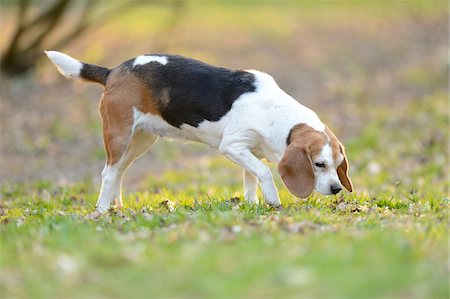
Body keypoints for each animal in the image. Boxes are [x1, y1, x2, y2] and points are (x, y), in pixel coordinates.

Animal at [45, 50, 354, 214]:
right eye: (318, 164)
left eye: (338, 164)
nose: (337, 189)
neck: (275, 113)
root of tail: (114, 71)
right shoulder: (233, 146)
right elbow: (264, 173)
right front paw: (272, 201)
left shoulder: (250, 151)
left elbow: (252, 176)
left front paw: (252, 203)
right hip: (120, 136)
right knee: (108, 173)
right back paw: (101, 211)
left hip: (140, 141)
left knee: (118, 172)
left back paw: (116, 205)